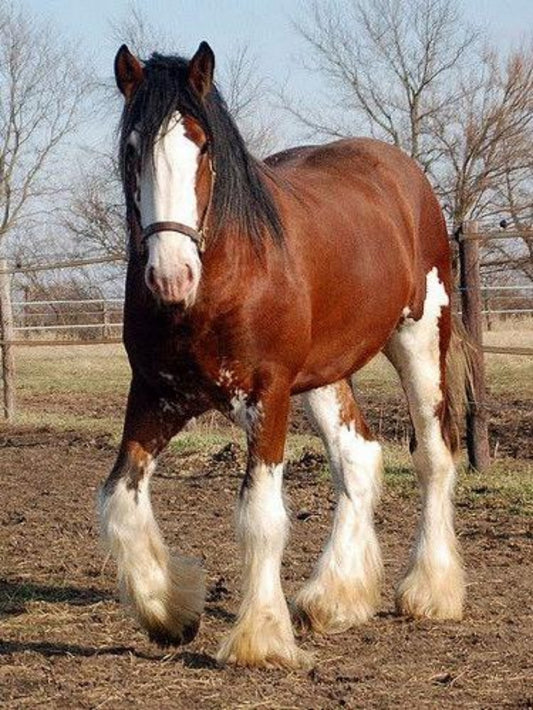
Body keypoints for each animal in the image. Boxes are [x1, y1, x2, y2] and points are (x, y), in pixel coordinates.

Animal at [99, 41, 468, 669]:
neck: (219, 283)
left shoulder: (266, 397)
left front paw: (260, 638)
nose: (171, 276)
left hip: (420, 339)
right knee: (359, 458)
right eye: (131, 150)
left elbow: (261, 517)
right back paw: (334, 597)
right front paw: (170, 611)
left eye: (202, 146)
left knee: (434, 457)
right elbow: (122, 500)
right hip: (324, 374)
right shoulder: (154, 395)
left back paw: (430, 591)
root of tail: (401, 171)